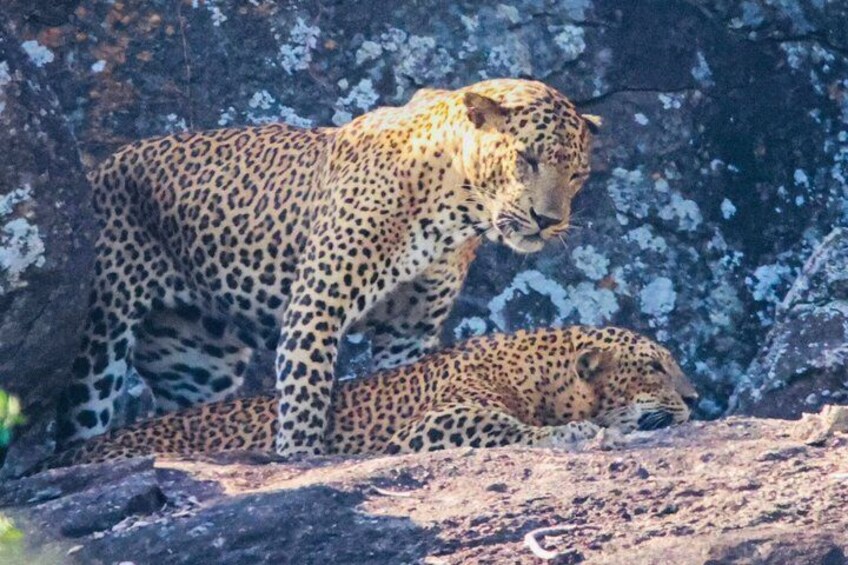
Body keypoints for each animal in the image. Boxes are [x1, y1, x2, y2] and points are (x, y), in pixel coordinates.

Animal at [56, 78, 602, 457]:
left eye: (577, 174)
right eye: (526, 158)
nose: (549, 220)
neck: (454, 205)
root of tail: (102, 167)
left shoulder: (409, 330)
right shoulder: (318, 301)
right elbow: (306, 389)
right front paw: (300, 454)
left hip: (196, 363)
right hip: (102, 336)